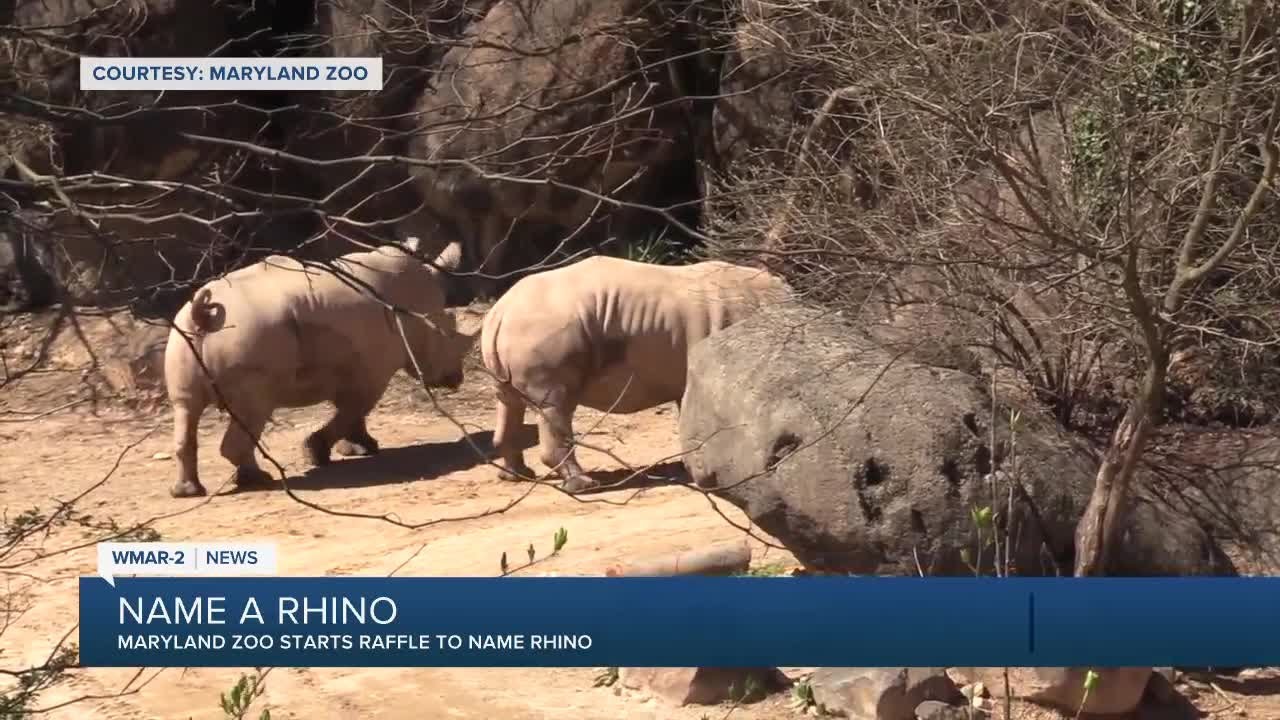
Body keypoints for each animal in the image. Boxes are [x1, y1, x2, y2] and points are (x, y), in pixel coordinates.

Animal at [162, 239, 477, 498]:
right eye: (449, 333)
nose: (455, 379)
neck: (417, 306)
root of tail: (204, 315)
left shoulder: (355, 367)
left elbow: (353, 412)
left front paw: (362, 448)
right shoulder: (374, 372)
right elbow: (354, 410)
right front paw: (318, 452)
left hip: (183, 334)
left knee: (186, 407)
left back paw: (187, 491)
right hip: (248, 336)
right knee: (254, 410)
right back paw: (258, 480)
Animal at [480, 255, 792, 492]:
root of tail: (500, 312)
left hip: (521, 332)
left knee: (509, 402)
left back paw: (516, 475)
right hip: (543, 330)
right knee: (555, 404)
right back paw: (584, 485)